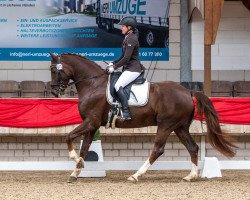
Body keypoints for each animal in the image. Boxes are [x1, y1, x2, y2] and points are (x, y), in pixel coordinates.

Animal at [49, 53, 236, 183]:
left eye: (53, 70)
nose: (54, 92)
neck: (93, 84)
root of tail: (188, 91)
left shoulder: (91, 121)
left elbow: (69, 137)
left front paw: (76, 161)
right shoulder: (92, 125)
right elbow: (85, 149)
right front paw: (76, 171)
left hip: (166, 125)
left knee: (158, 149)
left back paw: (136, 175)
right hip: (180, 127)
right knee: (193, 147)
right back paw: (191, 176)